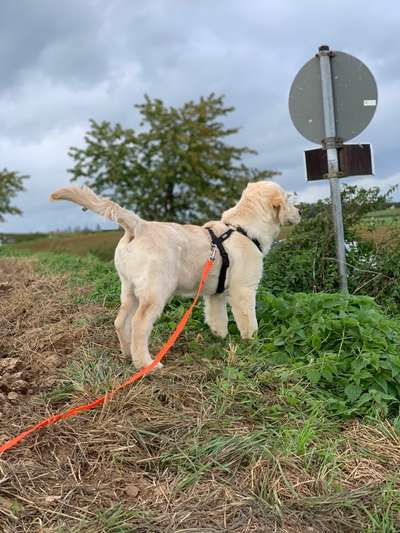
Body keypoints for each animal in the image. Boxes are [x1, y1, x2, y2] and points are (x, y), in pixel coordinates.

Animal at [50, 181, 300, 368]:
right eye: (289, 199)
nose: (301, 211)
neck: (241, 229)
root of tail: (138, 226)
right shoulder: (243, 290)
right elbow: (249, 322)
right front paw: (253, 344)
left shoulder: (215, 295)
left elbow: (218, 318)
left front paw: (220, 338)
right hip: (156, 291)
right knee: (140, 324)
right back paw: (145, 364)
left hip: (129, 289)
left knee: (121, 321)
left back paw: (128, 354)